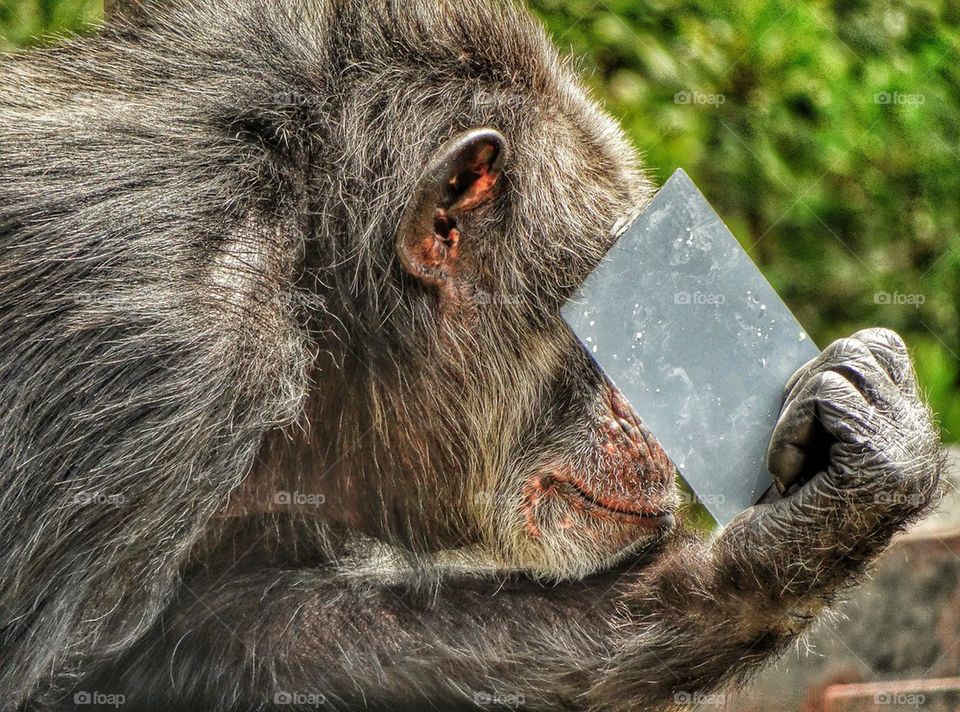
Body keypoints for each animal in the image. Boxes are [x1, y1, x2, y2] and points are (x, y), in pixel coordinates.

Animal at [0, 0, 944, 708]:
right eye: (618, 317)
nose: (643, 407)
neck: (318, 280)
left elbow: (218, 635)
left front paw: (815, 506)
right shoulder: (153, 349)